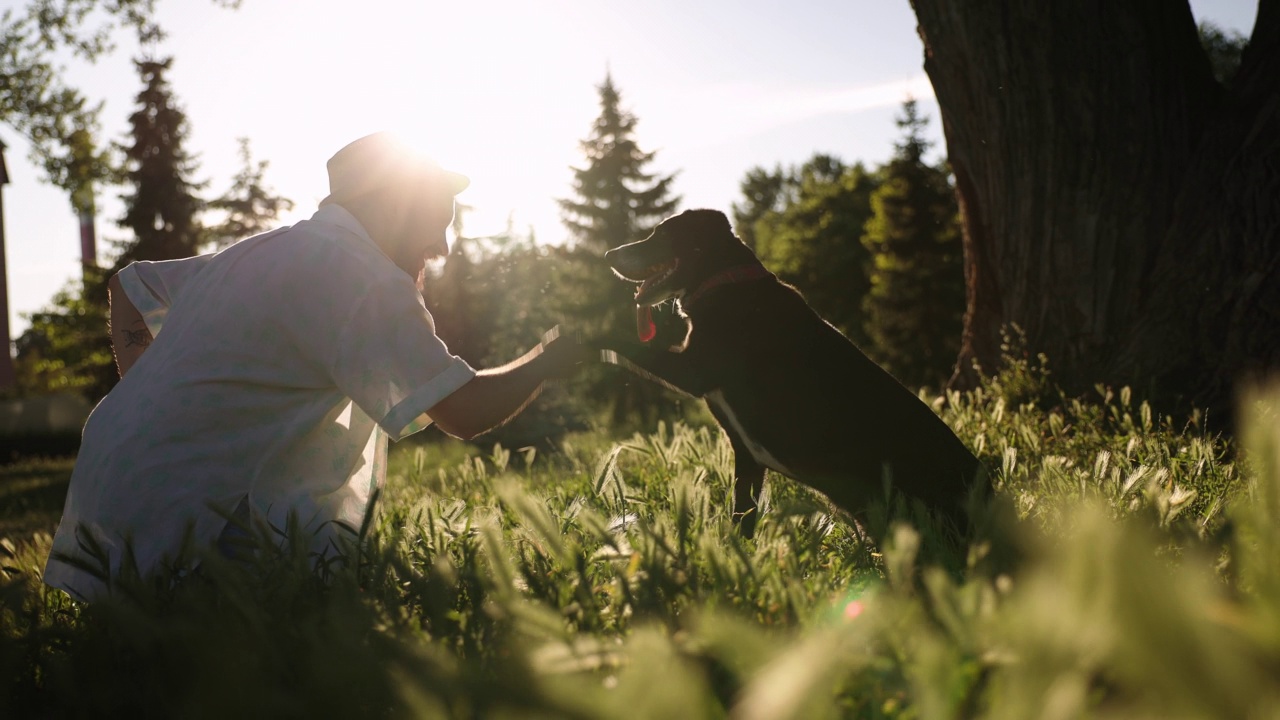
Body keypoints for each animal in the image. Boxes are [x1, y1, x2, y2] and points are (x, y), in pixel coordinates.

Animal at [604, 207, 983, 538]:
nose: (609, 254)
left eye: (661, 234)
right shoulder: (747, 456)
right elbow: (742, 520)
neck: (725, 283)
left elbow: (621, 341)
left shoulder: (693, 369)